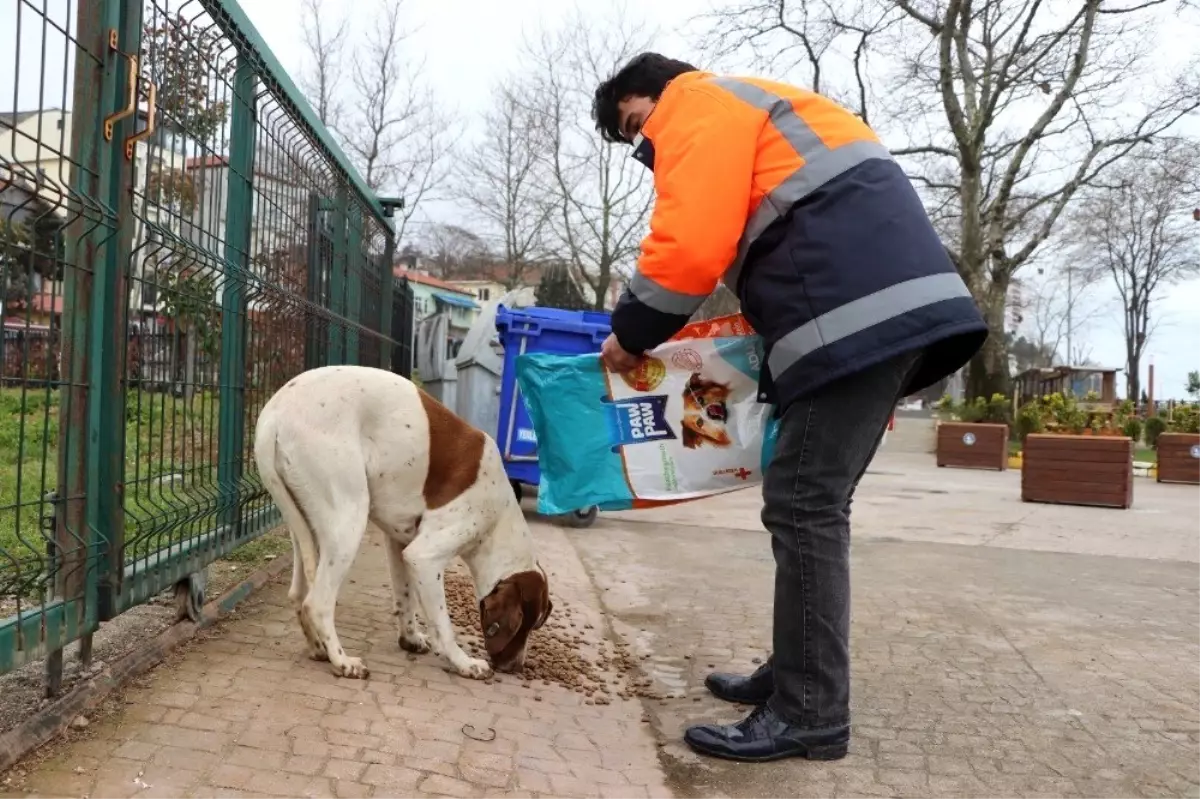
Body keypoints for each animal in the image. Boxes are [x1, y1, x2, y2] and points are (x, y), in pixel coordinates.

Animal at [255, 364, 554, 676]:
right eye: (522, 626)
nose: (516, 667)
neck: (498, 519)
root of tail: (274, 413)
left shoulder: (400, 545)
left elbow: (405, 598)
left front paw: (410, 639)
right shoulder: (424, 558)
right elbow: (443, 626)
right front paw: (463, 662)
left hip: (304, 526)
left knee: (298, 595)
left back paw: (318, 649)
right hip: (348, 522)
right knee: (318, 603)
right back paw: (342, 660)